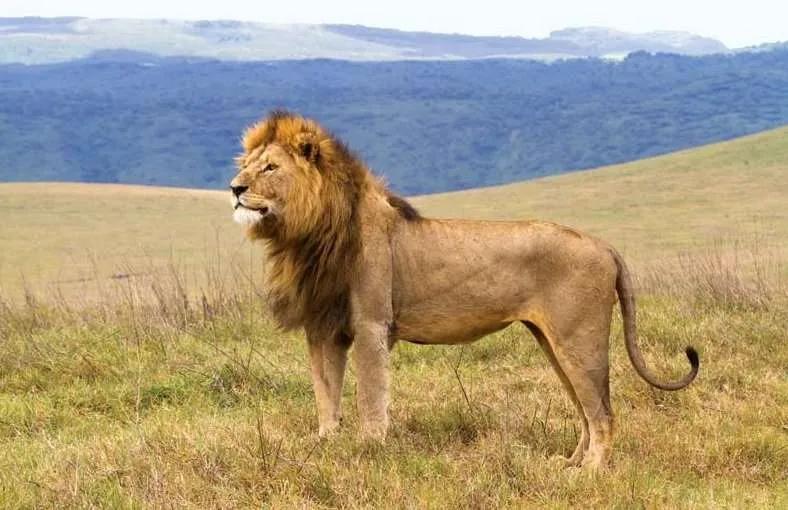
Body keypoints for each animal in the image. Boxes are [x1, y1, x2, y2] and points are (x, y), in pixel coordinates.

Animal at [230, 110, 699, 470]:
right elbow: (325, 393)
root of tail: (603, 244)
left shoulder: (371, 325)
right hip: (553, 343)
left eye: (270, 168)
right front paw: (325, 444)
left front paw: (370, 449)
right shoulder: (323, 327)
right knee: (586, 411)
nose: (235, 188)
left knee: (603, 413)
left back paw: (591, 472)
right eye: (247, 163)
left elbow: (370, 395)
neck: (307, 236)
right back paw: (568, 464)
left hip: (578, 340)